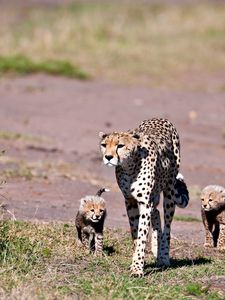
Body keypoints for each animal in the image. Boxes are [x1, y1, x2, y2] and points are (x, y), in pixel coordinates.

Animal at [99, 118, 189, 278]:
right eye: (104, 145)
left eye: (120, 145)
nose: (108, 157)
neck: (129, 167)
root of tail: (160, 118)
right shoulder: (130, 201)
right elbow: (135, 233)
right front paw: (137, 261)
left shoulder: (145, 202)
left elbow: (141, 235)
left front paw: (137, 268)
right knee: (156, 213)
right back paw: (156, 249)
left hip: (169, 192)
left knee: (167, 225)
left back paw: (163, 257)